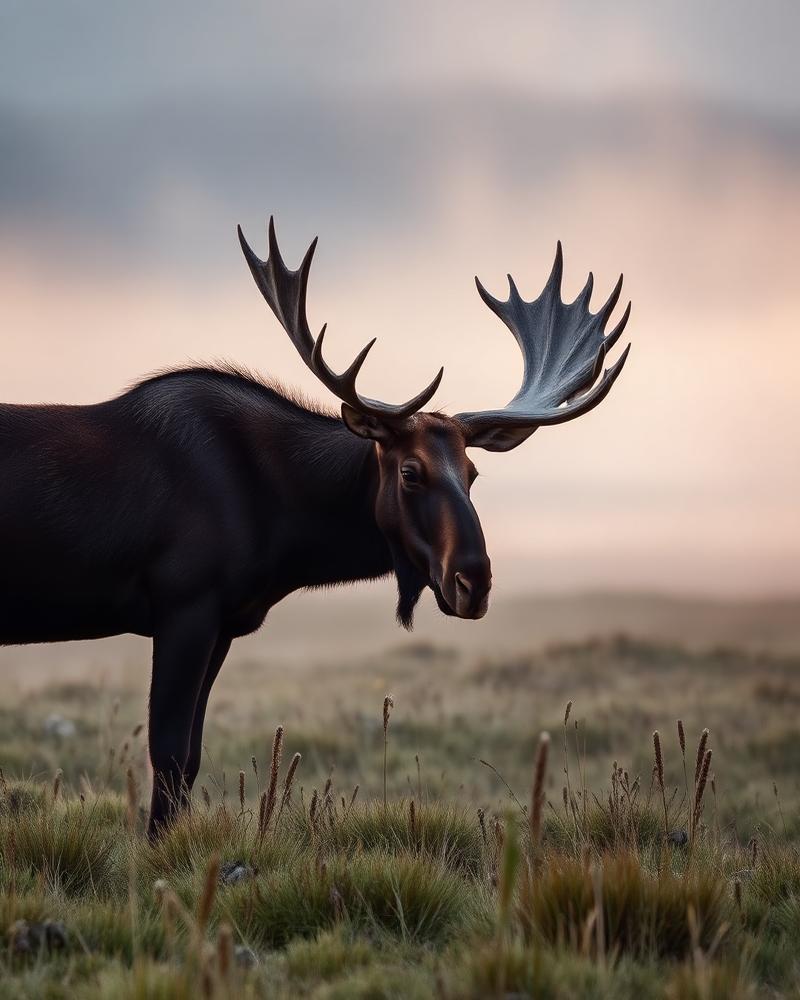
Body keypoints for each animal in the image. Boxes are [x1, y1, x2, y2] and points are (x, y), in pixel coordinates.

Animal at [0, 219, 631, 837]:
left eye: (474, 473)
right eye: (410, 471)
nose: (473, 582)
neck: (283, 535)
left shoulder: (223, 622)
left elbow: (193, 757)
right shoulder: (184, 603)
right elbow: (171, 754)